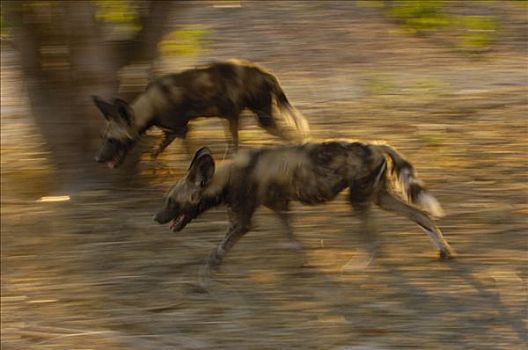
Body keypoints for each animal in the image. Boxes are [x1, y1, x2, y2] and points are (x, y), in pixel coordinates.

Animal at [93, 58, 310, 168]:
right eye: (104, 138)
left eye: (112, 140)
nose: (98, 159)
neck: (151, 106)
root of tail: (264, 73)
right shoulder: (172, 132)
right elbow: (156, 152)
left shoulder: (182, 130)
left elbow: (188, 155)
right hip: (234, 118)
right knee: (236, 145)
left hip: (261, 118)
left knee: (289, 135)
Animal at [153, 139, 454, 268]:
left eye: (171, 201)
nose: (156, 218)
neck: (227, 177)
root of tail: (378, 145)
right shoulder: (281, 207)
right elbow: (293, 237)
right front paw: (302, 259)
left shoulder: (242, 222)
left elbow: (218, 250)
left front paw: (204, 275)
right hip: (379, 198)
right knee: (422, 216)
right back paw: (444, 251)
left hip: (358, 201)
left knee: (372, 236)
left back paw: (361, 263)